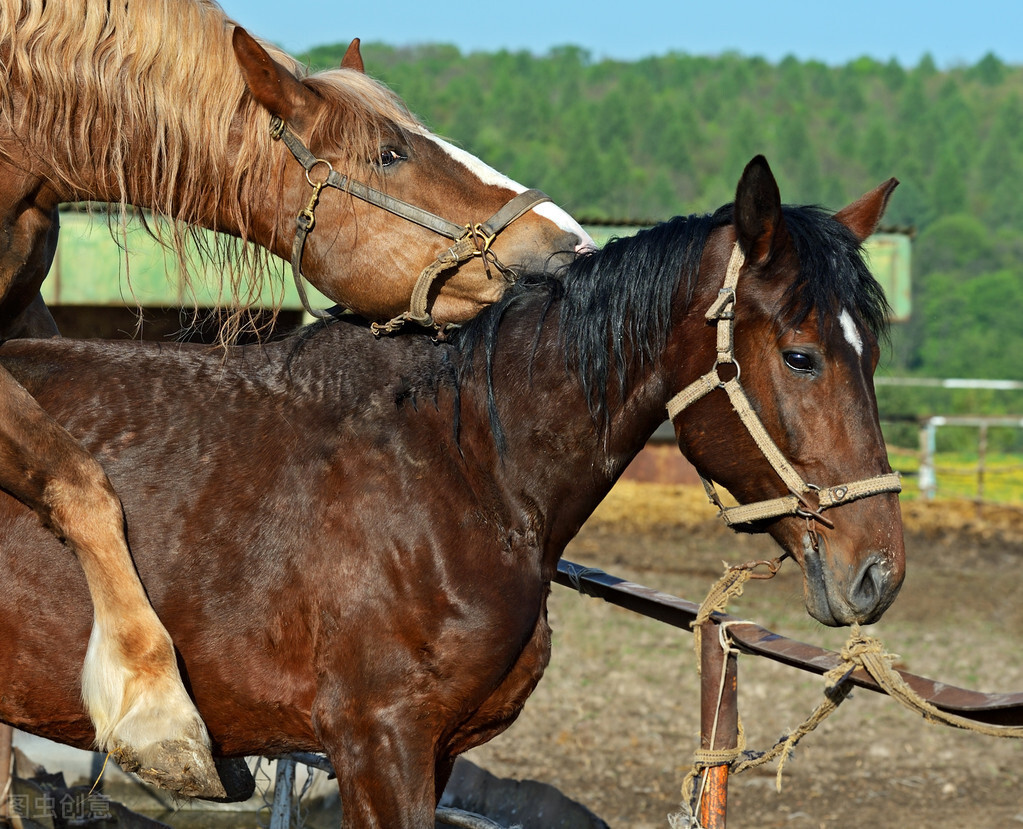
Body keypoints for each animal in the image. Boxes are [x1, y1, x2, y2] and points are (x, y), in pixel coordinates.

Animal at [0, 156, 904, 826]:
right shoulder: (379, 742)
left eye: (871, 352)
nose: (878, 571)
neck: (457, 468)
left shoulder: (431, 751)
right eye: (799, 355)